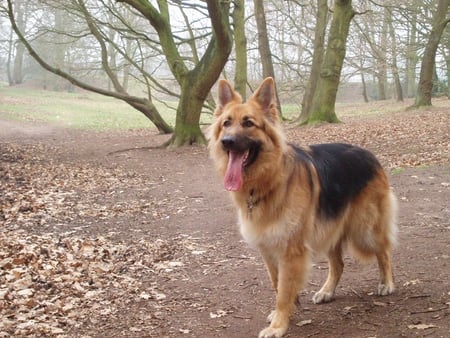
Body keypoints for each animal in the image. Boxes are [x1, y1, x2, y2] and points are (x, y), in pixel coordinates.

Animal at [207, 78, 398, 336]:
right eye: (226, 123)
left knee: (384, 252)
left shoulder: (291, 250)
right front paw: (288, 311)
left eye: (248, 123)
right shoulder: (268, 249)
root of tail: (369, 153)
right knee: (338, 264)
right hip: (330, 229)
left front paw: (279, 325)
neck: (269, 181)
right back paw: (327, 291)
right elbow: (277, 285)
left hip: (365, 229)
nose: (226, 142)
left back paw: (386, 283)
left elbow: (283, 291)